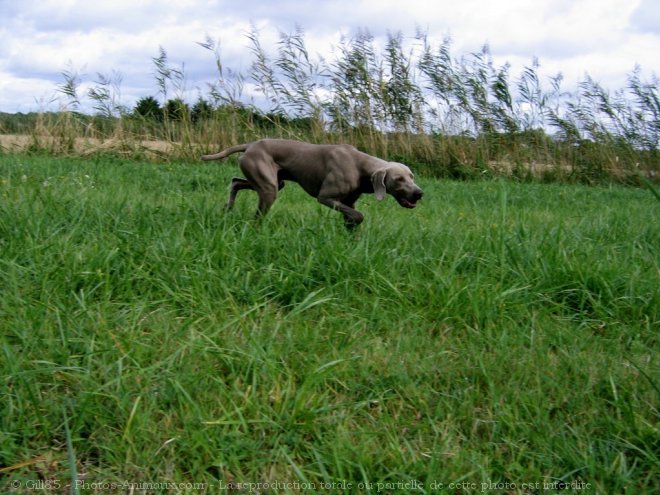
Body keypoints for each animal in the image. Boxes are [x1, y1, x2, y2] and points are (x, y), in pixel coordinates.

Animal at [200, 140, 422, 229]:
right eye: (399, 179)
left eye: (412, 176)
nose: (419, 193)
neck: (360, 166)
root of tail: (250, 144)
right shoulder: (325, 197)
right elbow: (359, 215)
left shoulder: (348, 203)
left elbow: (352, 216)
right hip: (269, 186)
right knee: (257, 215)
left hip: (275, 181)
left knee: (236, 182)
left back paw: (228, 208)